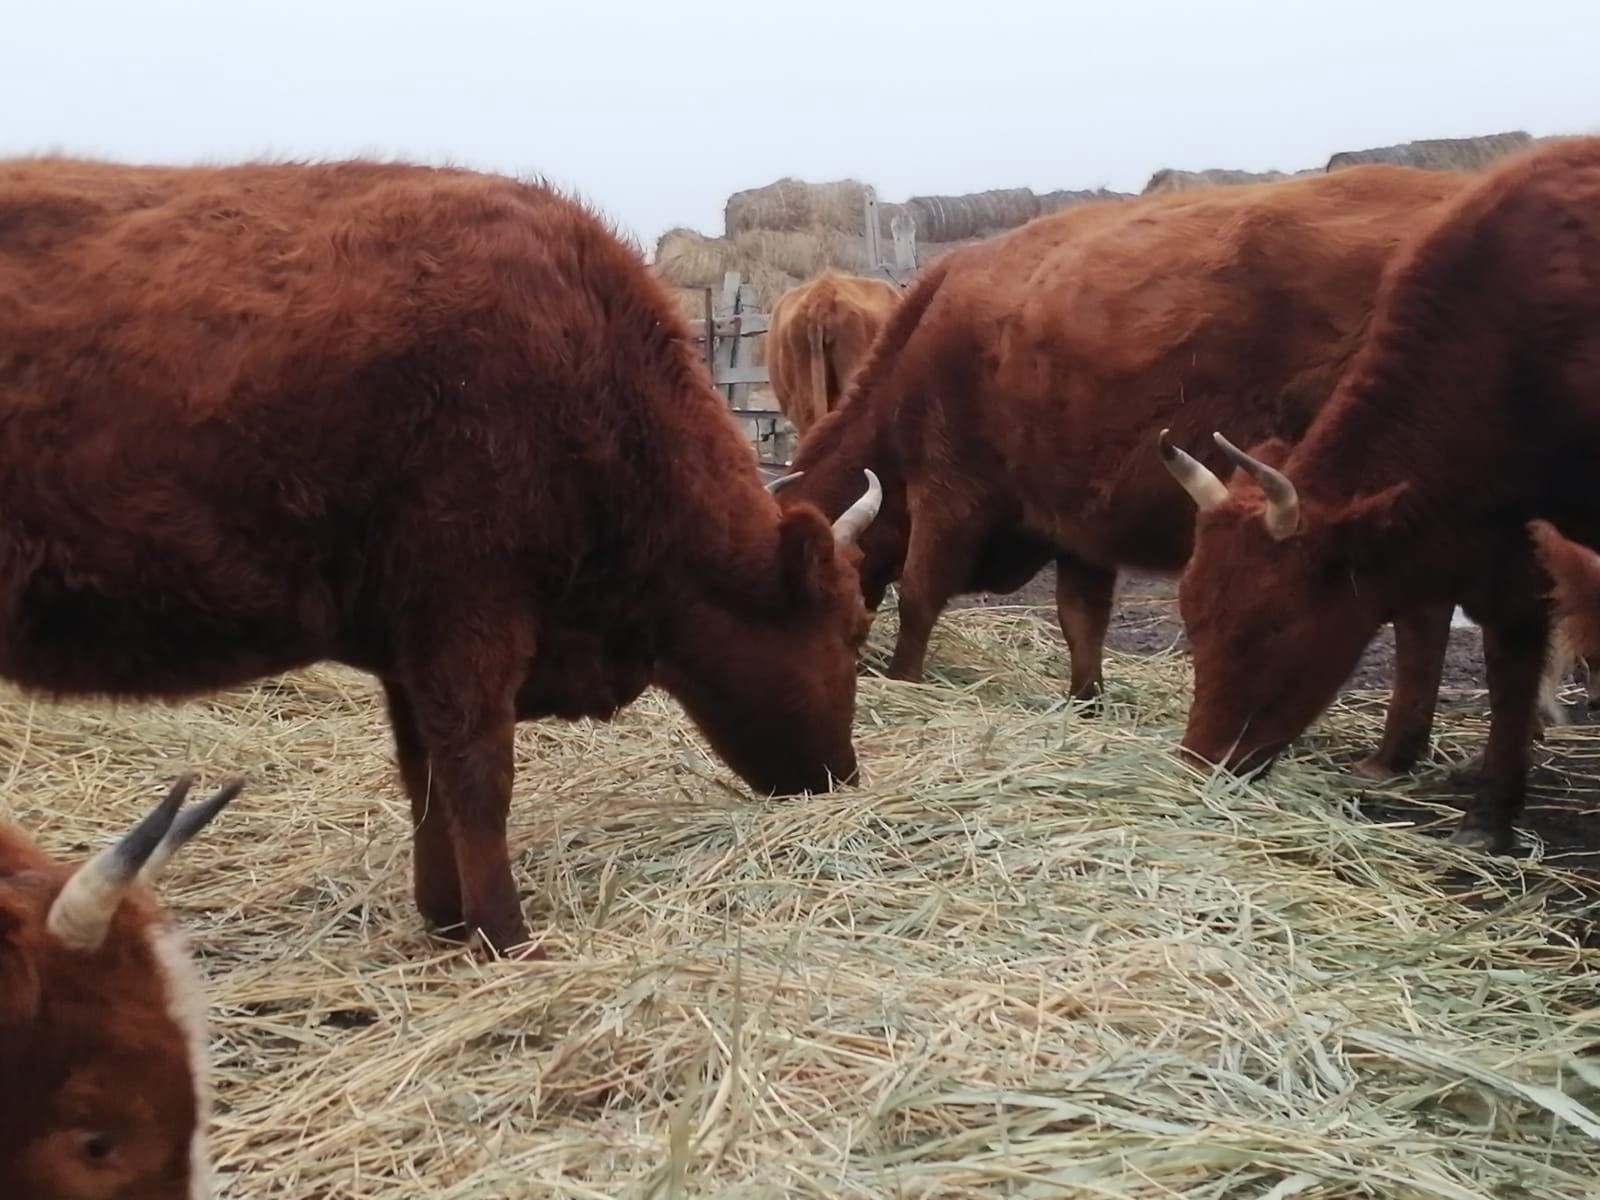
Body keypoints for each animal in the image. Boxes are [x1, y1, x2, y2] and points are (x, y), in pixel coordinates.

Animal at [1158, 136, 1600, 857]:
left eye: (1277, 624)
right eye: (1191, 614)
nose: (1202, 764)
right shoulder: (1505, 551)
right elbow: (1508, 664)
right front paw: (1490, 809)